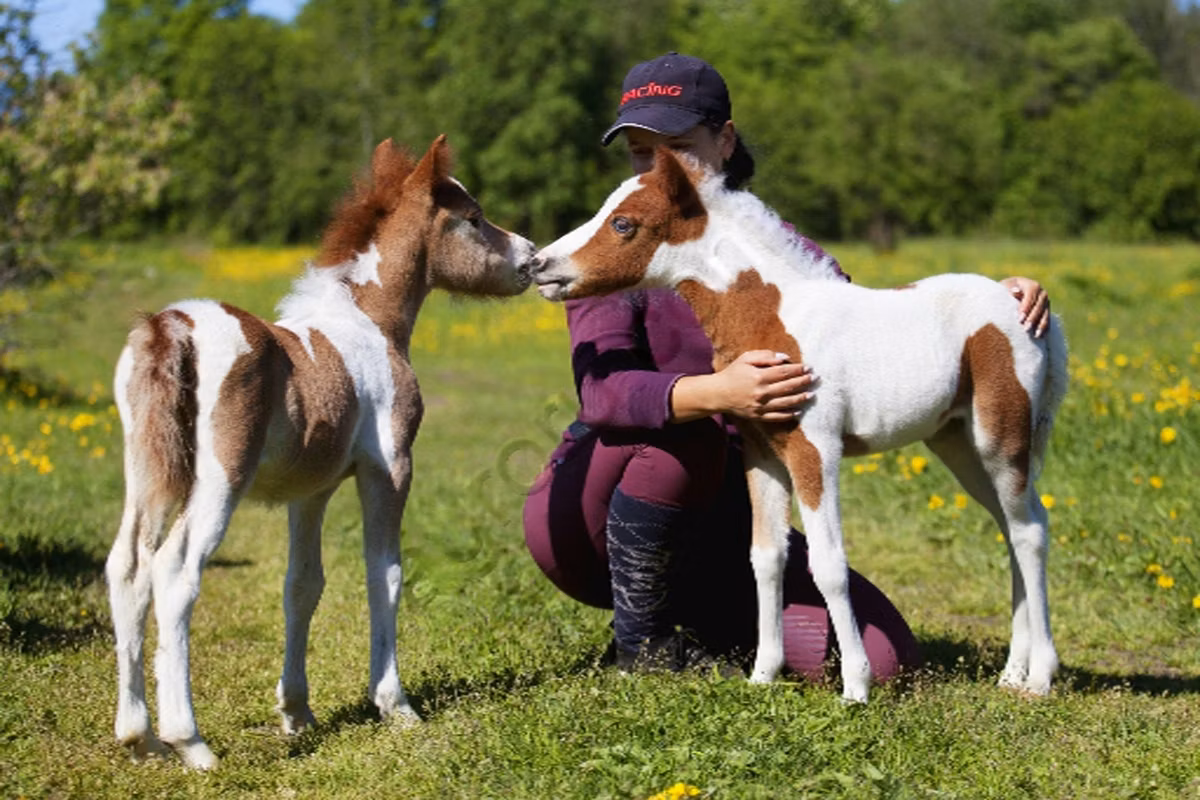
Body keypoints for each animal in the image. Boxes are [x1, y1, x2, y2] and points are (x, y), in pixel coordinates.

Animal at [105, 135, 537, 769]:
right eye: (475, 218)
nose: (530, 257)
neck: (369, 321)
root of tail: (171, 326)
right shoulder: (390, 468)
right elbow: (386, 573)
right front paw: (395, 705)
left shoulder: (309, 491)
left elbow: (302, 585)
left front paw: (297, 712)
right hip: (219, 481)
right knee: (175, 571)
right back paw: (191, 741)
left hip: (148, 473)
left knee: (128, 566)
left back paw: (140, 736)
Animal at [531, 147, 1068, 704]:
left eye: (623, 223)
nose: (539, 265)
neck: (773, 317)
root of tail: (1023, 308)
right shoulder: (763, 454)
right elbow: (766, 557)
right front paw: (764, 674)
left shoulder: (815, 449)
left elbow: (828, 565)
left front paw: (856, 686)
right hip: (959, 444)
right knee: (1012, 528)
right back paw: (1011, 672)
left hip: (1000, 438)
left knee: (1030, 531)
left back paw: (1039, 677)